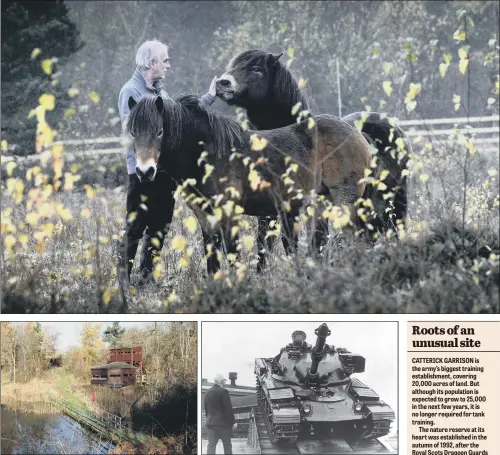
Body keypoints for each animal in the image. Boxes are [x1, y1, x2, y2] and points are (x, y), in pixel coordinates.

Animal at [125, 94, 372, 274]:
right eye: (133, 133)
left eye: (159, 132)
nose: (145, 172)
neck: (208, 153)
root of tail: (358, 134)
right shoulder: (205, 217)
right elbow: (212, 259)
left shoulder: (229, 213)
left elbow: (232, 255)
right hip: (321, 203)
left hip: (344, 201)